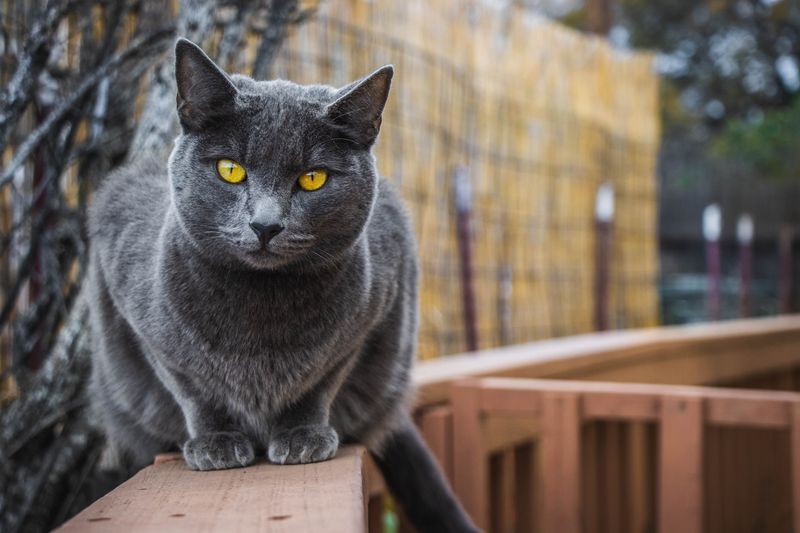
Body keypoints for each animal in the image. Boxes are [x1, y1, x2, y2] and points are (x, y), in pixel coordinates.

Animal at [87, 38, 476, 532]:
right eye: (230, 170)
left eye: (313, 178)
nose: (265, 225)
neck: (260, 308)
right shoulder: (144, 324)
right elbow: (192, 387)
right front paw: (216, 441)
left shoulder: (371, 315)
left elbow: (321, 380)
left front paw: (301, 435)